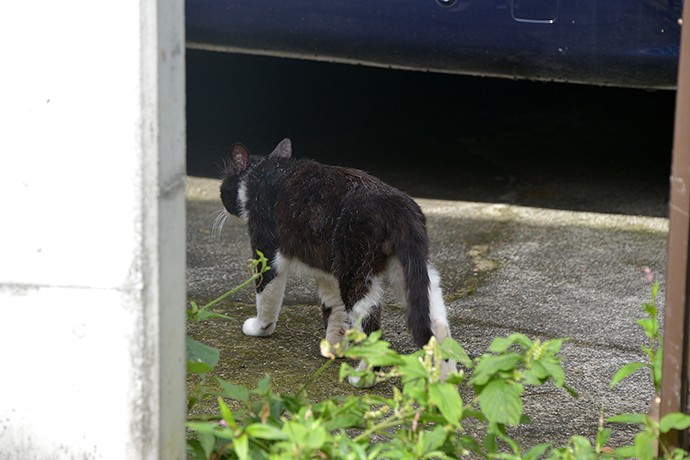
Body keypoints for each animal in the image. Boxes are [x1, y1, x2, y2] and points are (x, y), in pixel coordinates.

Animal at [220, 138, 454, 382]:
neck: (260, 174)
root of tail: (397, 205)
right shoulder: (328, 272)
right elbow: (333, 308)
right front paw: (334, 347)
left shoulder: (266, 252)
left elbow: (266, 296)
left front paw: (259, 328)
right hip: (409, 272)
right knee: (437, 324)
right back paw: (447, 380)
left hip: (356, 274)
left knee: (371, 327)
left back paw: (362, 378)